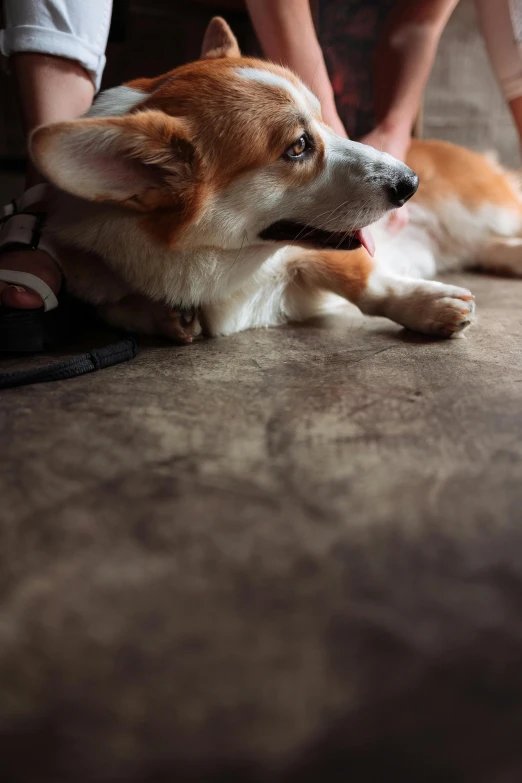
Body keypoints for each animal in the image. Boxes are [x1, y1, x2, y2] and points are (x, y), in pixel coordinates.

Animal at [29, 16, 522, 344]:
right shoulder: (95, 277)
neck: (223, 265)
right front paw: (165, 318)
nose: (410, 183)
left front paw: (432, 307)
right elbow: (111, 309)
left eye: (325, 122)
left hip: (488, 208)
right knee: (492, 247)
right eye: (298, 146)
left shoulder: (326, 254)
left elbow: (368, 285)